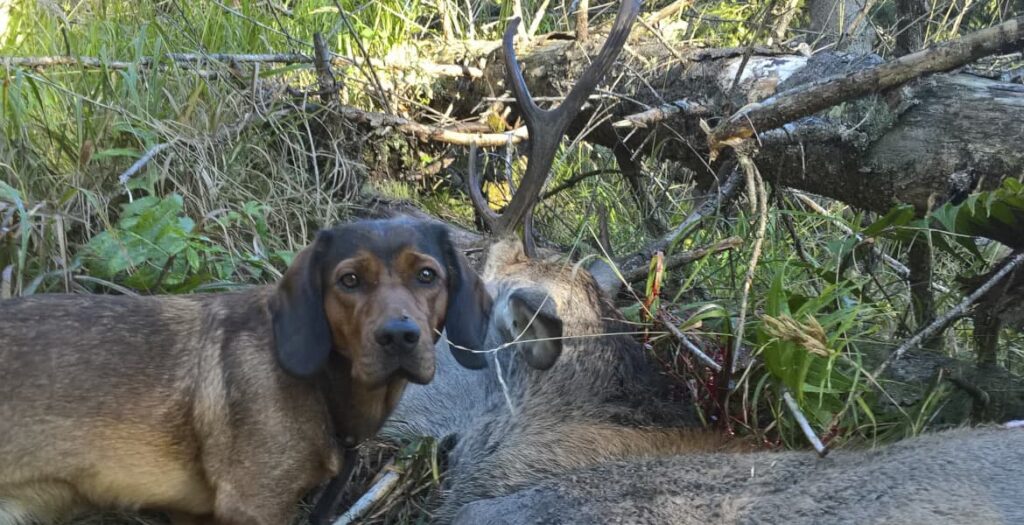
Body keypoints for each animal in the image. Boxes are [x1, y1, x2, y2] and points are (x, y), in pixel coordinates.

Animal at [0, 215, 495, 523]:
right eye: (350, 280)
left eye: (427, 275)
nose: (398, 336)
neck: (320, 386)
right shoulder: (253, 506)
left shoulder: (194, 513)